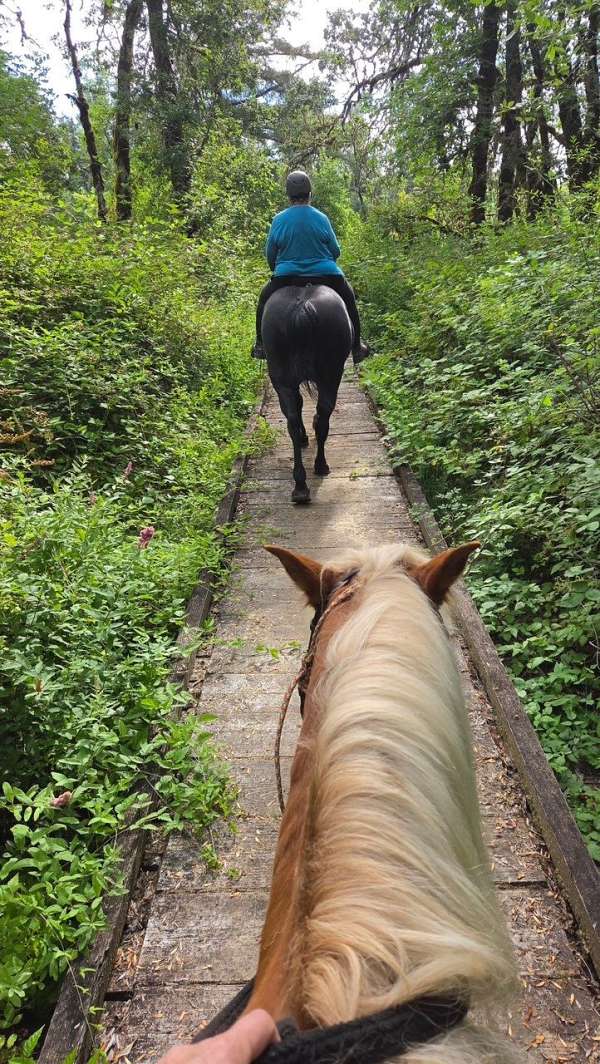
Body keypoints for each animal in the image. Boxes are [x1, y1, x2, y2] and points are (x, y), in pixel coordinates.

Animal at [261, 284, 353, 504]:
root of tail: (303, 308)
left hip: (285, 381)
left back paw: (301, 485)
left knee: (294, 421)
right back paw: (318, 467)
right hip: (330, 377)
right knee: (321, 418)